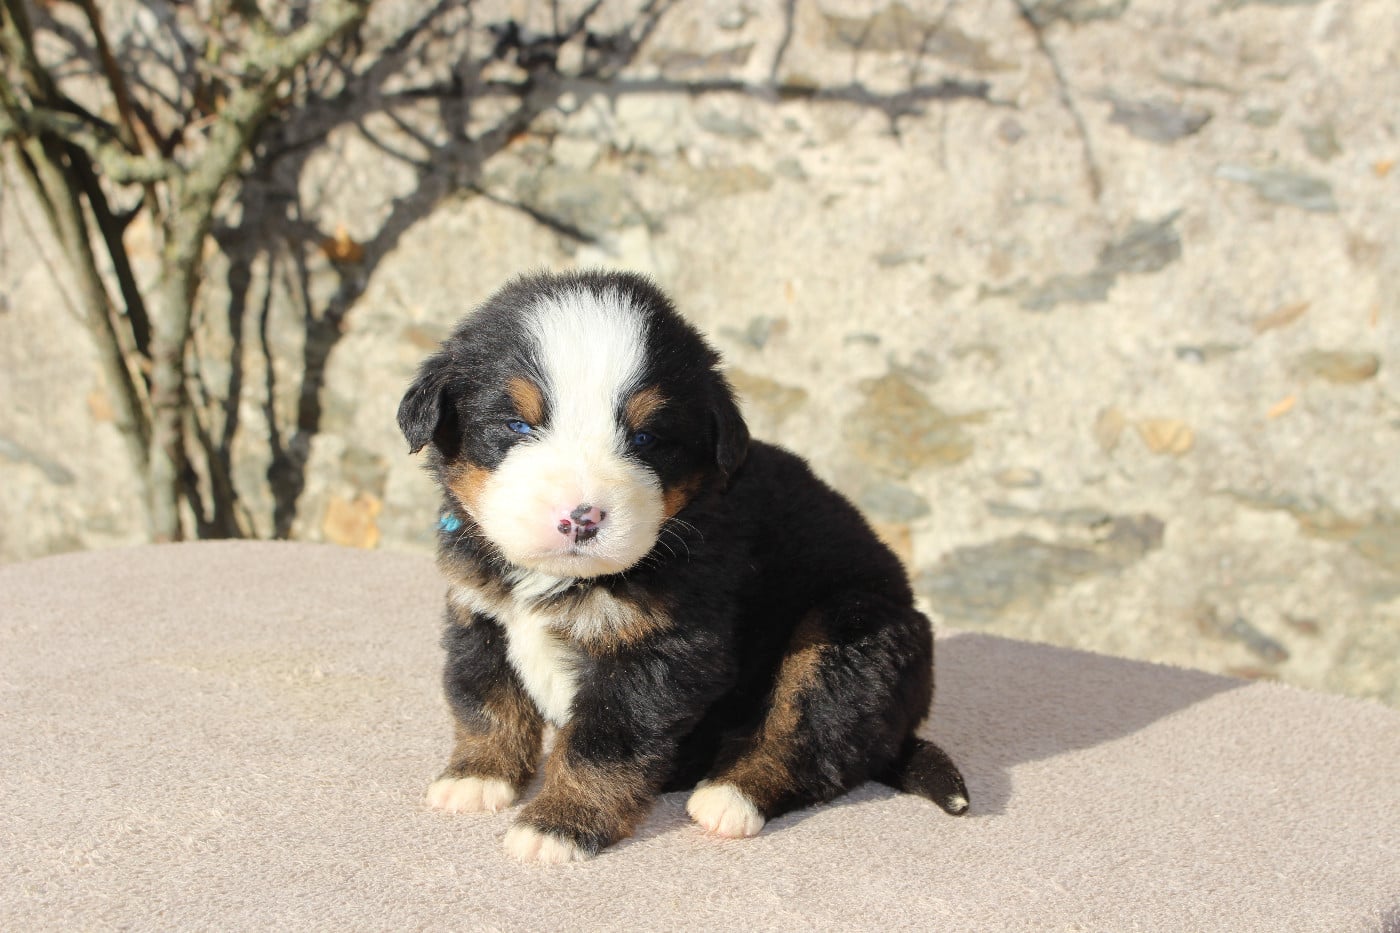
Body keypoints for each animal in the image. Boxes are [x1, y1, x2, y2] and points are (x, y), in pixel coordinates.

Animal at [398, 270, 968, 863]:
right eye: (516, 425)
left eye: (645, 438)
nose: (582, 518)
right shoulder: (478, 613)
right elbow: (485, 700)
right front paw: (478, 777)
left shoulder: (663, 648)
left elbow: (603, 744)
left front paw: (559, 824)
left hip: (850, 629)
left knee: (812, 737)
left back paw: (732, 795)